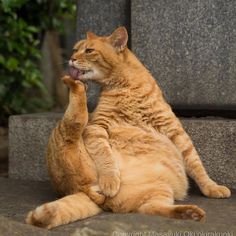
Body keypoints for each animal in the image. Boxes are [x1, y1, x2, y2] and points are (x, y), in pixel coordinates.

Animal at [26, 27, 230, 229]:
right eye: (75, 49)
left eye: (89, 50)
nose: (71, 58)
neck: (127, 87)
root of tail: (82, 189)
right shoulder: (96, 127)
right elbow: (105, 156)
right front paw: (110, 180)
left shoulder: (176, 132)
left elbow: (197, 165)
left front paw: (212, 187)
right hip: (68, 133)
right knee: (76, 115)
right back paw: (73, 82)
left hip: (159, 190)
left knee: (152, 208)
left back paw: (191, 213)